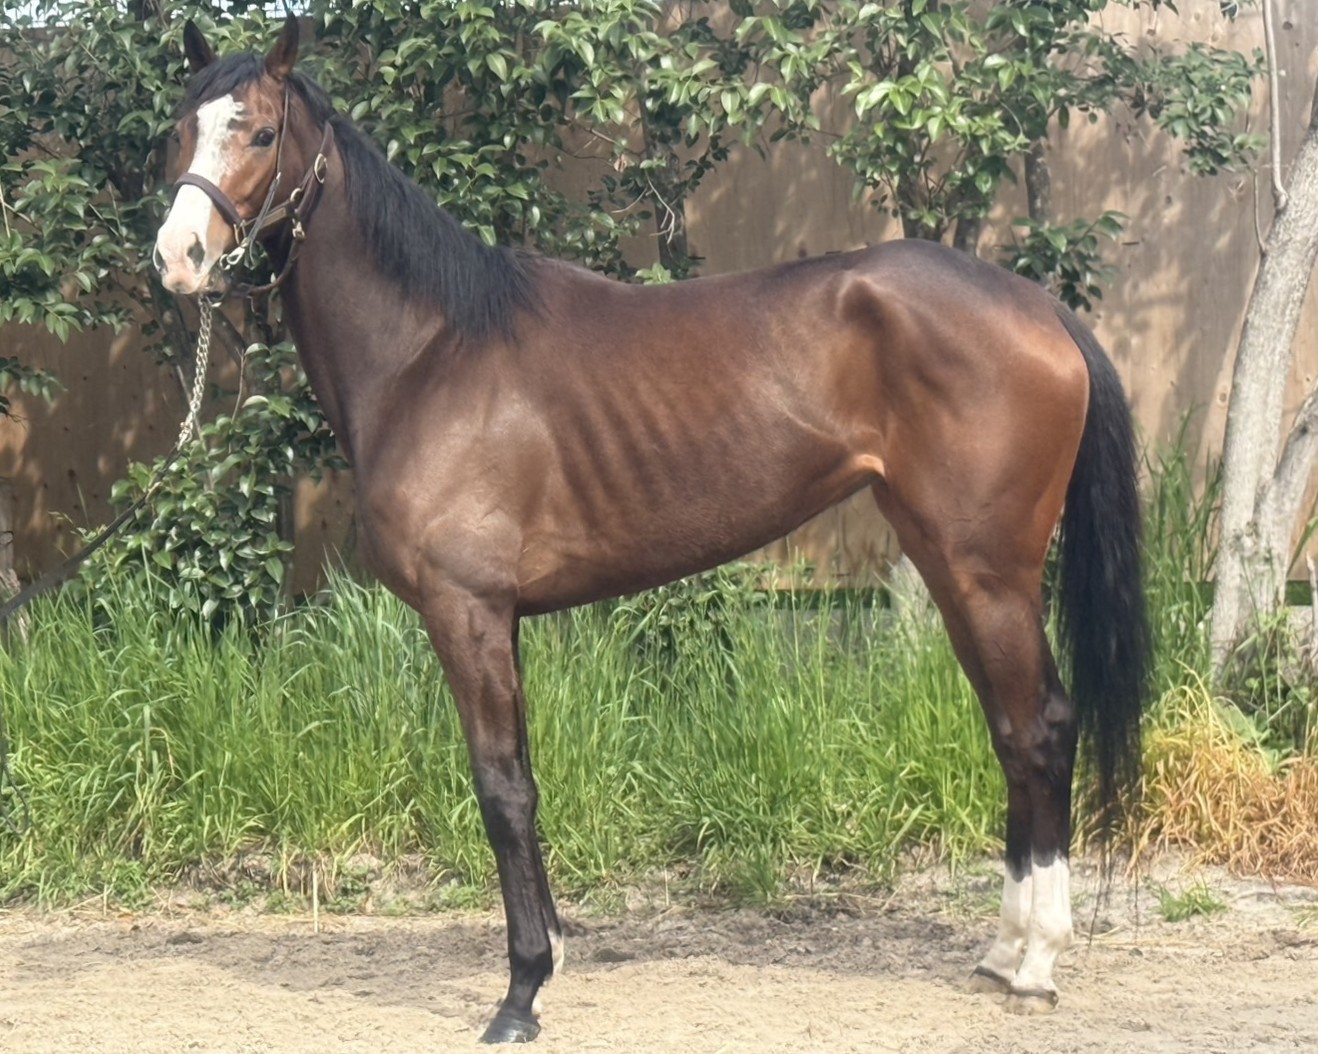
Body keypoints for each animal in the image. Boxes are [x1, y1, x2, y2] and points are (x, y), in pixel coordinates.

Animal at [154, 17, 1149, 1044]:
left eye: (261, 132)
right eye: (179, 132)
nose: (177, 256)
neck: (432, 353)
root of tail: (1040, 309)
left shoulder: (466, 610)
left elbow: (500, 790)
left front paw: (520, 992)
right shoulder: (499, 618)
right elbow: (524, 779)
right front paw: (553, 956)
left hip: (988, 570)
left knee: (1042, 728)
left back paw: (1036, 960)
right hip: (950, 566)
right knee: (1009, 730)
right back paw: (1001, 952)